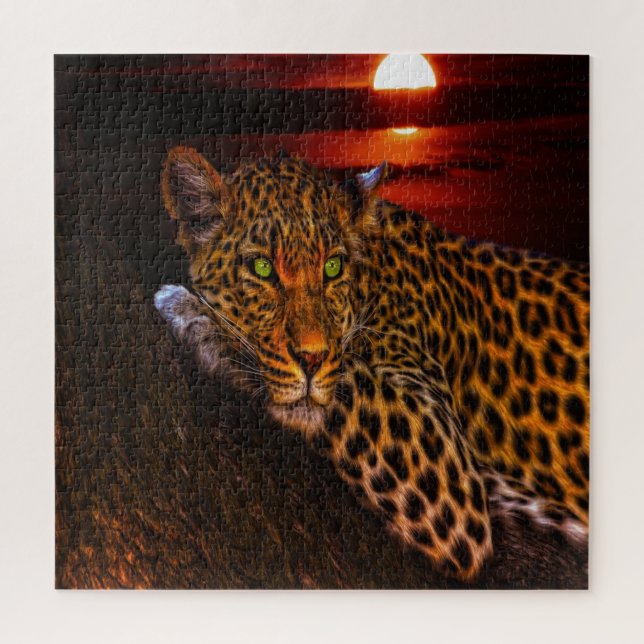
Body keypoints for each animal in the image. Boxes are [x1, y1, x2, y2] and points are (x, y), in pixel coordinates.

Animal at [154, 146, 590, 582]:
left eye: (333, 267)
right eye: (261, 267)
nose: (311, 359)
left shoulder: (447, 466)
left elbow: (347, 381)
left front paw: (194, 314)